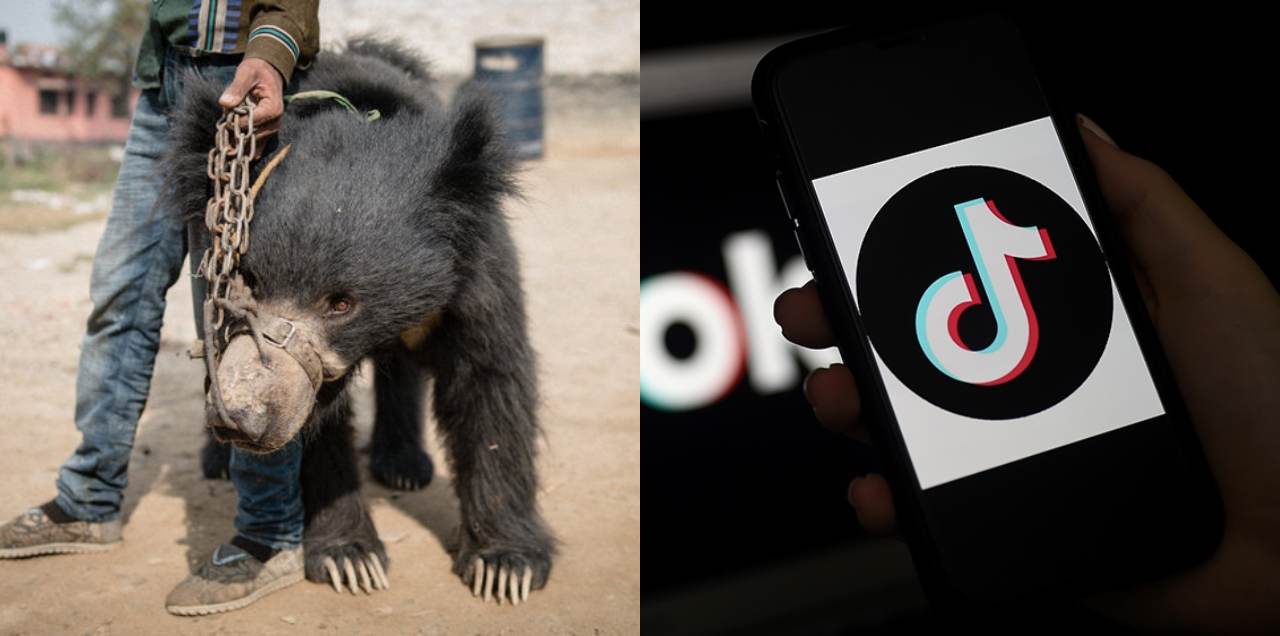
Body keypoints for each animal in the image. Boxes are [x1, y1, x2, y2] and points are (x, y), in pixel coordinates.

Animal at [159, 38, 555, 603]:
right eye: (248, 283)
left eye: (342, 304)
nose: (243, 420)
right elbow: (315, 426)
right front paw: (351, 559)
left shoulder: (473, 271)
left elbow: (489, 381)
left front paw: (505, 567)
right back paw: (218, 463)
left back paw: (403, 464)